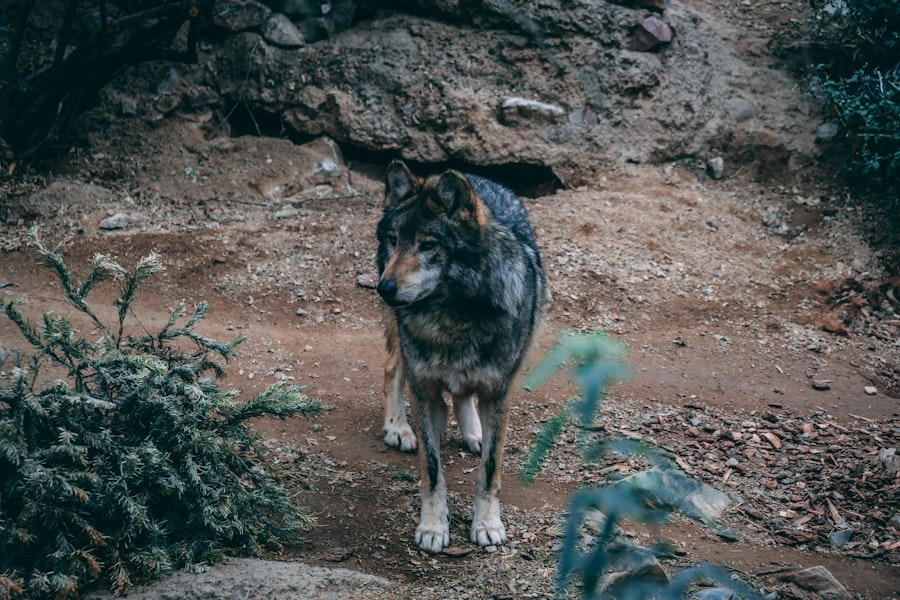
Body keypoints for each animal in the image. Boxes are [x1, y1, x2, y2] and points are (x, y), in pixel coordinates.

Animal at [376, 160, 548, 553]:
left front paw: (487, 525)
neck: (453, 317)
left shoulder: (499, 393)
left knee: (464, 394)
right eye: (394, 240)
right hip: (399, 334)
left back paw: (474, 434)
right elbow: (432, 468)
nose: (384, 287)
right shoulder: (424, 392)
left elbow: (490, 469)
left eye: (428, 245)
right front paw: (432, 527)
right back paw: (397, 428)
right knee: (392, 367)